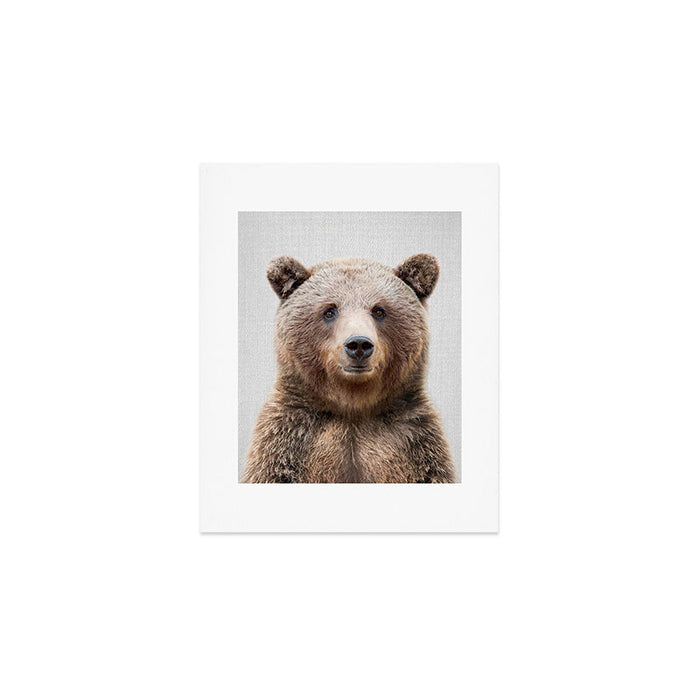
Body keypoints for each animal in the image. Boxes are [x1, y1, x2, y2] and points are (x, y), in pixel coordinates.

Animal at [242, 254, 456, 483]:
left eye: (379, 310)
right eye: (329, 311)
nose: (359, 344)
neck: (353, 407)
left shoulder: (415, 444)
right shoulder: (288, 441)